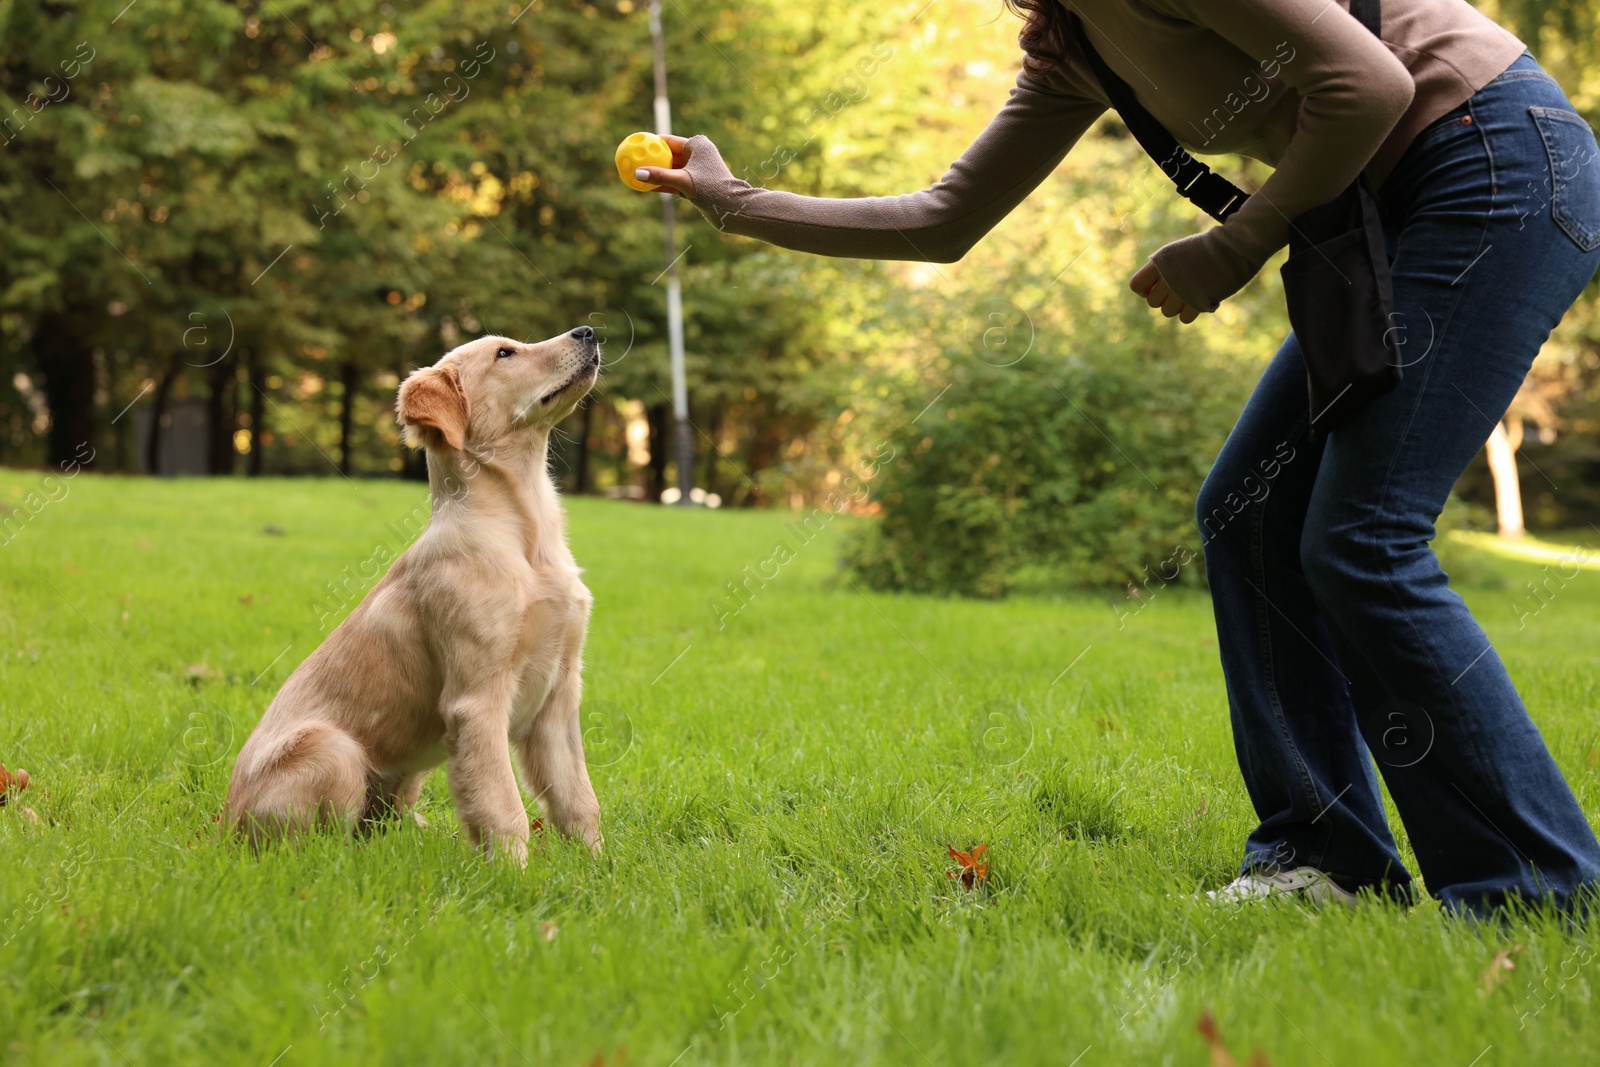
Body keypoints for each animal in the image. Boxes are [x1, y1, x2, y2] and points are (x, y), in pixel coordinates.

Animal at [224, 329, 601, 863]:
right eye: (504, 353)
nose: (588, 332)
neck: (526, 537)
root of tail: (223, 829)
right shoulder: (477, 700)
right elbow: (502, 806)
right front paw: (513, 875)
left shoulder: (560, 692)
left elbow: (578, 800)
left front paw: (599, 867)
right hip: (335, 751)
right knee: (322, 848)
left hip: (407, 775)